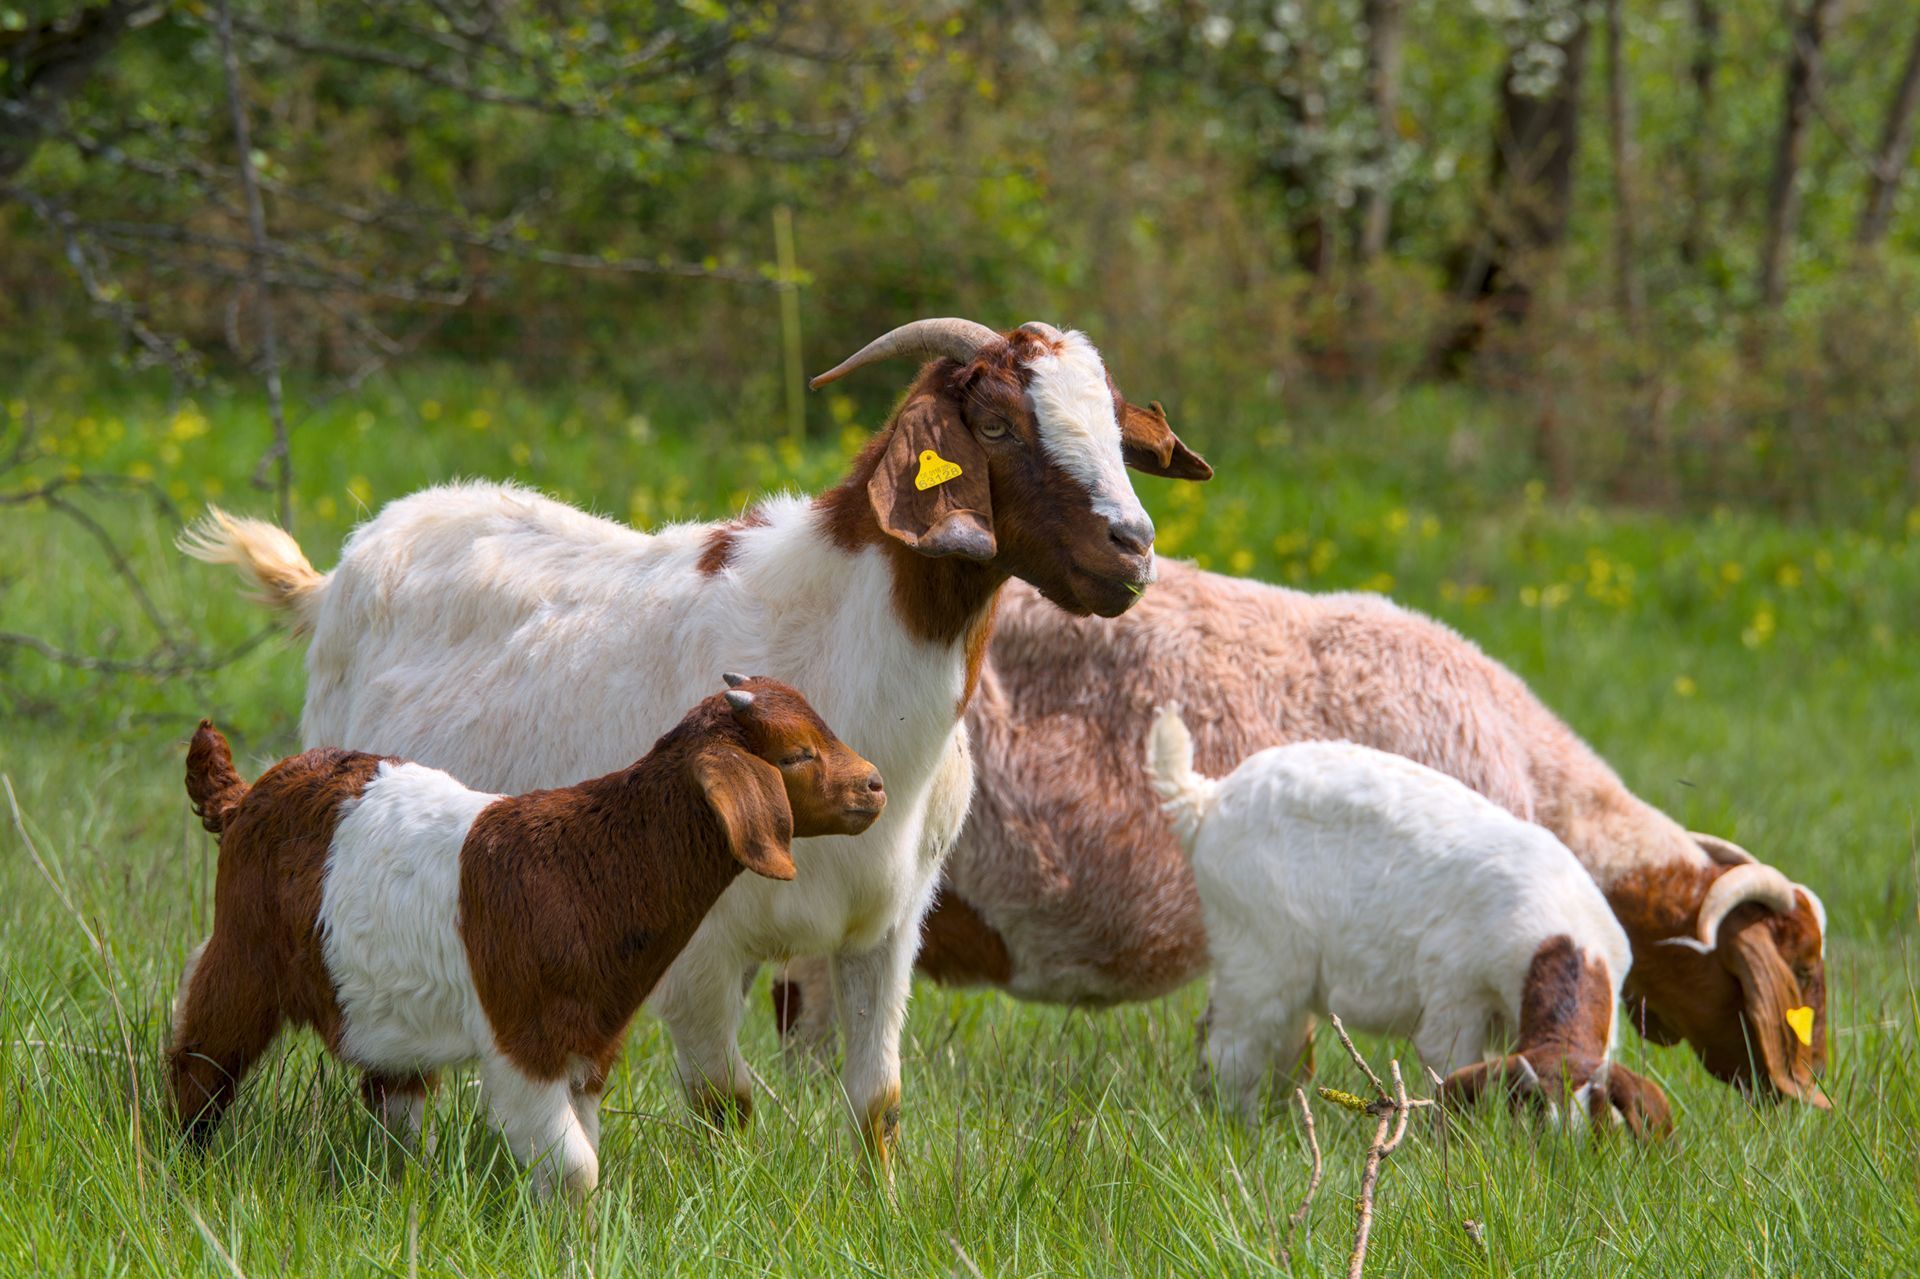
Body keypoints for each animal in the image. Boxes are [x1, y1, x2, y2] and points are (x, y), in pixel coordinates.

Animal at [168, 677, 884, 1199]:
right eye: (797, 754)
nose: (876, 784)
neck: (590, 864)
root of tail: (246, 796)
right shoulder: (524, 1041)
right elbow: (575, 1167)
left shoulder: (590, 1045)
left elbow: (580, 1149)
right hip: (242, 954)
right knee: (200, 1057)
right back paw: (185, 1164)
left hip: (379, 1008)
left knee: (394, 1096)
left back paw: (402, 1187)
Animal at [1147, 706, 1673, 1138]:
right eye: (1536, 1113)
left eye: (1600, 1123)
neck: (1561, 935)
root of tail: (1206, 800)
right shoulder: (1454, 997)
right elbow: (1449, 1067)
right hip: (1259, 948)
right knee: (1234, 1045)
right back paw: (1243, 1126)